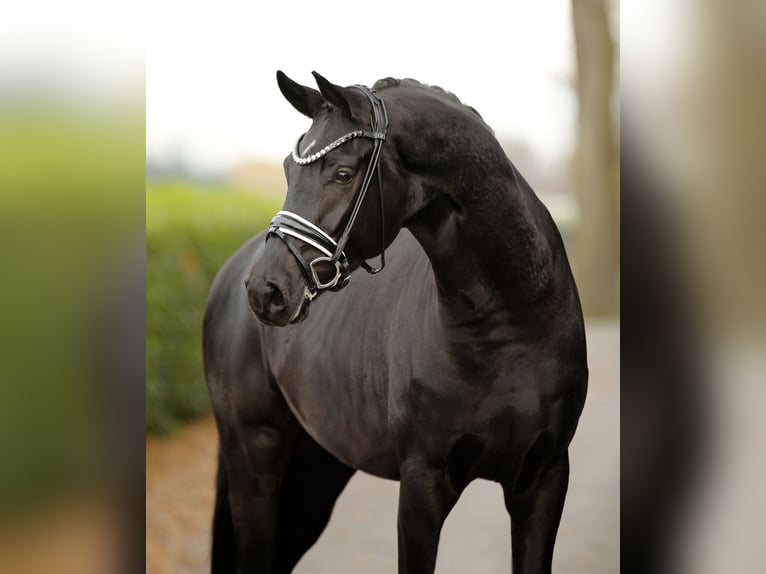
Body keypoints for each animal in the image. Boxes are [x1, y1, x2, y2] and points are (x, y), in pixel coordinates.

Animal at [203, 71, 588, 574]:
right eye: (289, 169)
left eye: (343, 173)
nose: (267, 290)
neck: (509, 328)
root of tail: (231, 273)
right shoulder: (423, 481)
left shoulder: (544, 478)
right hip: (255, 460)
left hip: (314, 470)